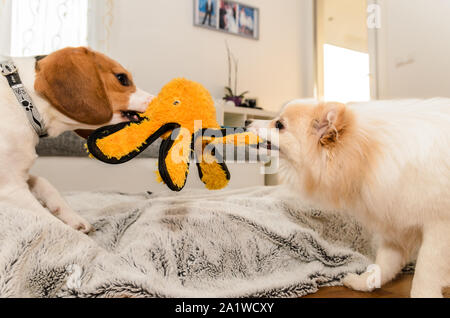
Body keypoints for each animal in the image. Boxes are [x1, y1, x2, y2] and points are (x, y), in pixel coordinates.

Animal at [0, 46, 154, 232]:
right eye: (122, 79)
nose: (159, 100)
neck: (25, 103)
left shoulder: (22, 174)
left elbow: (45, 182)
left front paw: (73, 217)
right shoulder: (10, 188)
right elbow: (54, 224)